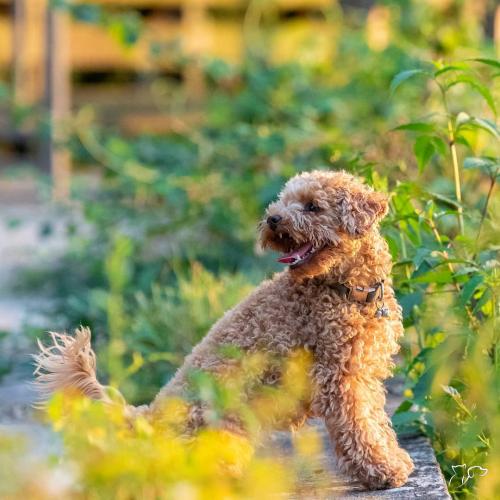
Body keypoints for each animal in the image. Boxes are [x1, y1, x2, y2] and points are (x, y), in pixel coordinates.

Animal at [33, 170, 412, 490]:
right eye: (283, 201)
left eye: (312, 206)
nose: (273, 219)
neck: (348, 290)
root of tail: (149, 419)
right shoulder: (338, 378)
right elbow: (359, 427)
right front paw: (382, 471)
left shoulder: (362, 374)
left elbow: (375, 421)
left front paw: (394, 461)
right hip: (220, 428)